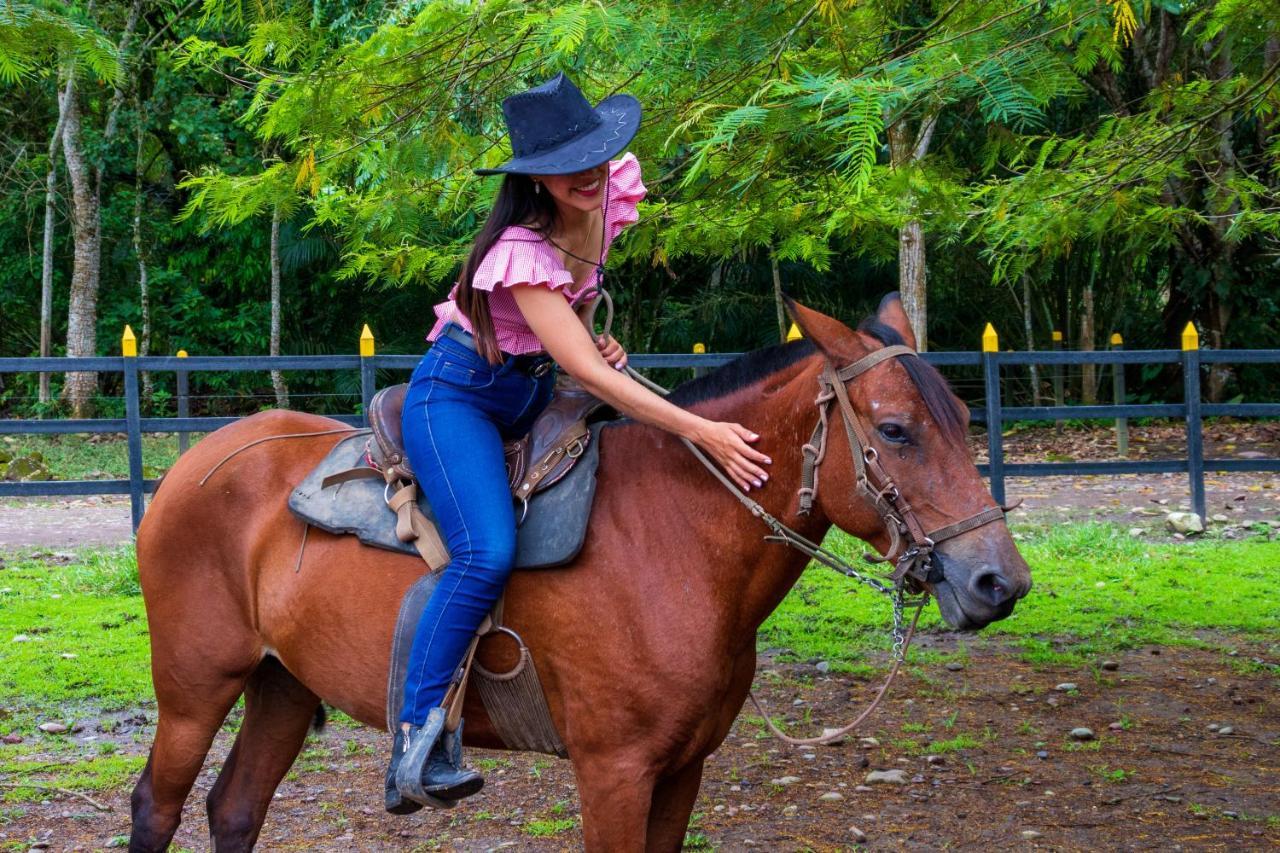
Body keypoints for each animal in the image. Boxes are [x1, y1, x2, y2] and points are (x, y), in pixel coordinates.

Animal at [129, 295, 1029, 845]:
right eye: (895, 429)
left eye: (963, 414)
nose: (999, 582)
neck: (673, 537)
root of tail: (192, 465)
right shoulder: (614, 772)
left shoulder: (681, 771)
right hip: (195, 687)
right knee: (158, 805)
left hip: (282, 685)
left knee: (235, 809)